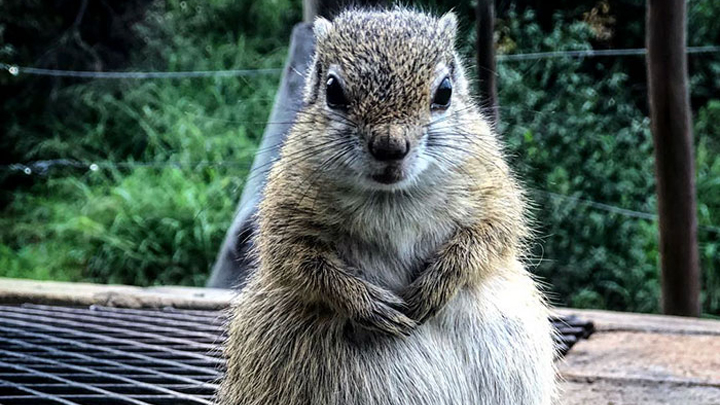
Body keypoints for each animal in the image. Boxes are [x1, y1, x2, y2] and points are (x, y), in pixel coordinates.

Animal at [219, 7, 556, 404]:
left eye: (445, 92)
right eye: (333, 91)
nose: (390, 147)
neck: (393, 197)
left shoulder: (494, 193)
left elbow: (490, 237)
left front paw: (436, 284)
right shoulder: (285, 214)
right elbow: (300, 263)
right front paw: (367, 304)